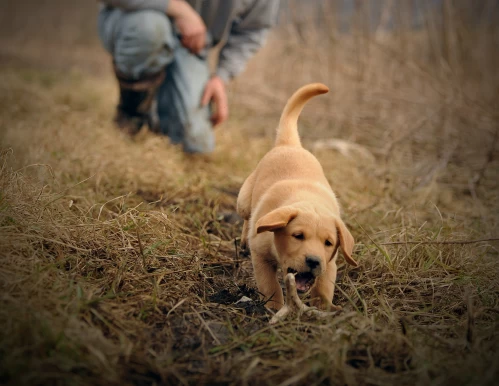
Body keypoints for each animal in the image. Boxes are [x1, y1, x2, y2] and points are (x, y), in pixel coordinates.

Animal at [236, 83, 358, 310]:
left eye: (328, 243)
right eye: (298, 236)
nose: (314, 261)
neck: (308, 201)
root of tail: (290, 145)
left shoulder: (330, 264)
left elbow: (323, 288)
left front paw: (323, 309)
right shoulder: (260, 256)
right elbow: (270, 286)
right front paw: (275, 308)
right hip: (244, 200)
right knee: (247, 217)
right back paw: (243, 238)